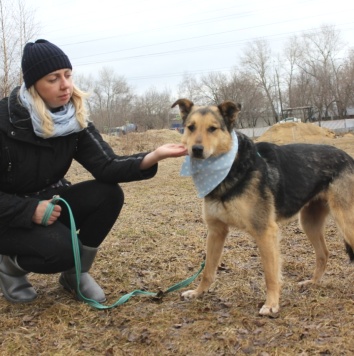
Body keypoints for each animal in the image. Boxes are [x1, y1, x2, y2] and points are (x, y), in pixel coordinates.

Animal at [172, 97, 354, 314]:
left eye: (212, 129)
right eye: (190, 128)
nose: (197, 150)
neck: (230, 167)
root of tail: (349, 158)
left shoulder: (265, 232)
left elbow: (270, 274)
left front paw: (272, 304)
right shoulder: (216, 231)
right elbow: (208, 269)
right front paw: (198, 293)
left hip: (346, 221)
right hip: (309, 222)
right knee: (324, 254)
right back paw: (312, 283)